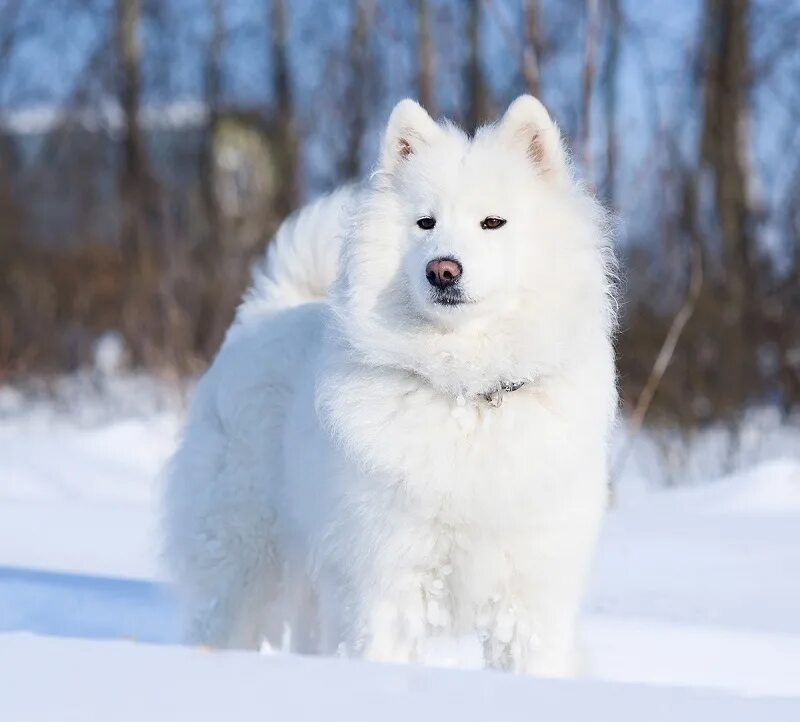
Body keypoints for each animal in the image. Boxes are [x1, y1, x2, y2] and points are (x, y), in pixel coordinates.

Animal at [164, 97, 620, 676]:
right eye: (425, 223)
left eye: (493, 222)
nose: (442, 270)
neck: (464, 391)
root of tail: (263, 313)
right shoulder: (388, 581)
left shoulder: (530, 597)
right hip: (244, 558)